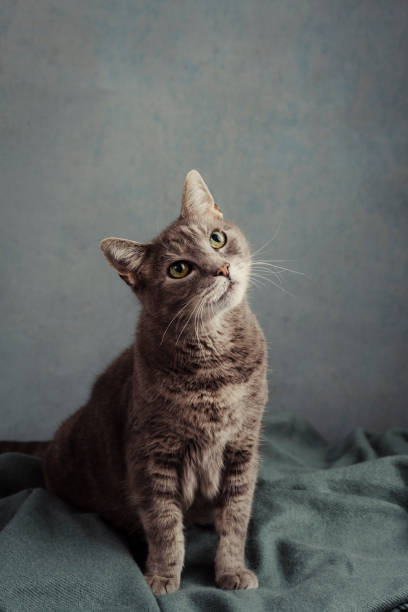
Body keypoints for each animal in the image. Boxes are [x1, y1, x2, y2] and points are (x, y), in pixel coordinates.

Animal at [7, 171, 270, 592]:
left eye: (217, 238)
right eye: (179, 269)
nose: (221, 269)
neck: (214, 367)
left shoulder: (243, 446)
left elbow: (236, 517)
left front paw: (231, 570)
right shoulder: (152, 453)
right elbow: (164, 526)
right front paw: (161, 576)